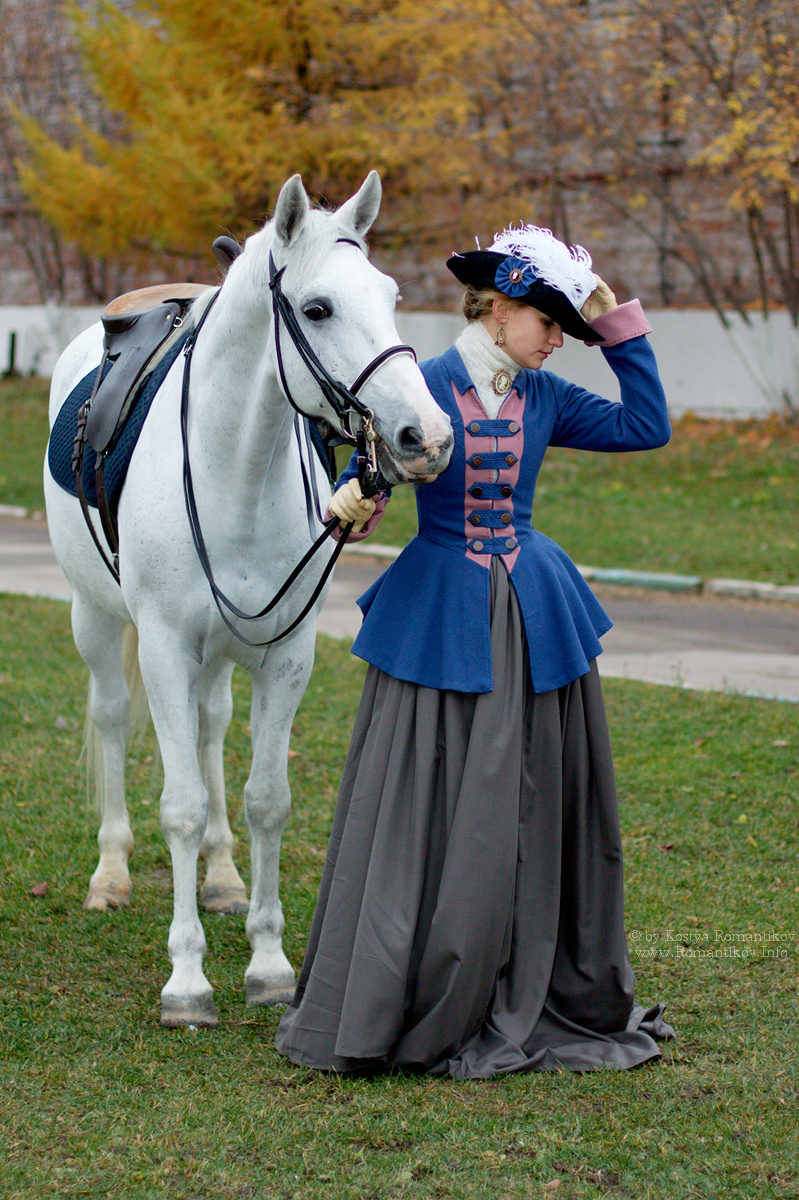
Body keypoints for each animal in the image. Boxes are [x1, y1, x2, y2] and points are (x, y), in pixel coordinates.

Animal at [44, 174, 453, 1027]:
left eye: (391, 295)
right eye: (318, 308)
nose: (424, 436)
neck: (233, 463)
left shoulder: (284, 656)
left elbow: (266, 799)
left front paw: (267, 963)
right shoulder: (166, 651)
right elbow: (180, 805)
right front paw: (187, 980)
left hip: (222, 659)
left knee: (209, 730)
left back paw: (224, 877)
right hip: (95, 620)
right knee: (111, 718)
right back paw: (111, 872)